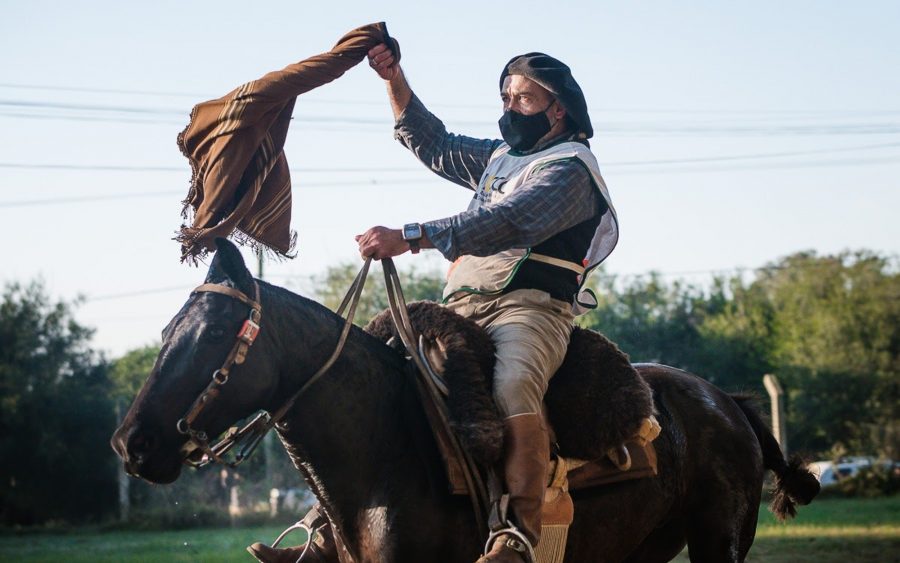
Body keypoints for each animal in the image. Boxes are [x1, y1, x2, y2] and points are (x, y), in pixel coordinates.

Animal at [110, 241, 816, 563]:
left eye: (215, 335)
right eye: (168, 330)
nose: (132, 443)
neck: (381, 453)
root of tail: (726, 402)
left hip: (717, 541)